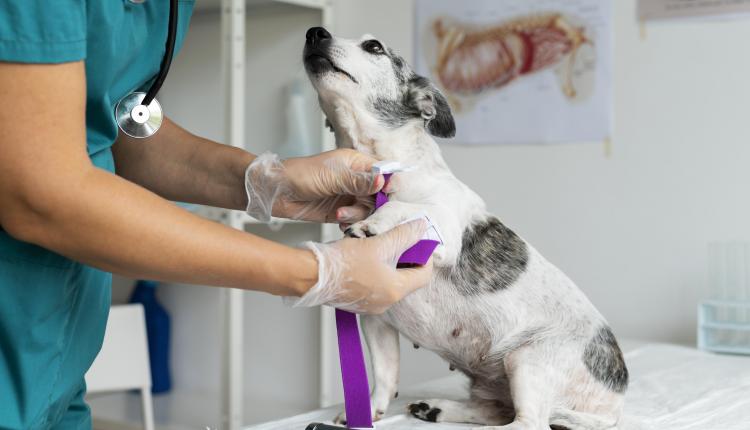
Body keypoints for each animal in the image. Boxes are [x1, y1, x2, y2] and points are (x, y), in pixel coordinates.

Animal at [304, 26, 628, 430]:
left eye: (373, 46)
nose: (314, 32)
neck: (383, 170)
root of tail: (614, 403)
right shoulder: (377, 318)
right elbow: (383, 377)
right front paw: (366, 413)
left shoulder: (444, 228)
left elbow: (405, 206)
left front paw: (373, 223)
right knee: (496, 412)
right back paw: (437, 408)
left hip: (529, 358)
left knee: (527, 423)